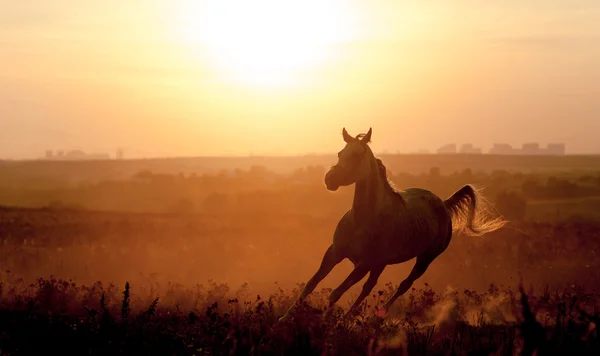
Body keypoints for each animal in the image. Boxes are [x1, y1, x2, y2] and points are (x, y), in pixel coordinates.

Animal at [278, 128, 504, 322]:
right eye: (340, 153)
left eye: (357, 155)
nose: (330, 179)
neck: (363, 219)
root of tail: (444, 204)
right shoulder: (335, 253)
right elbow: (312, 283)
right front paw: (283, 319)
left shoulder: (364, 264)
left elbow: (336, 293)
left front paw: (325, 325)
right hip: (382, 264)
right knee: (369, 287)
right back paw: (347, 319)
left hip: (424, 259)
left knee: (403, 286)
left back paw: (373, 318)